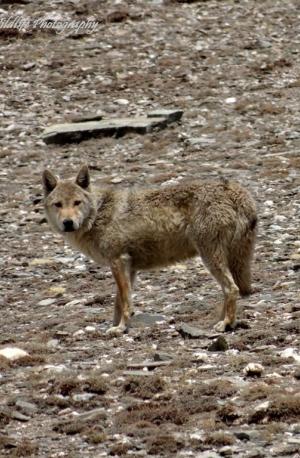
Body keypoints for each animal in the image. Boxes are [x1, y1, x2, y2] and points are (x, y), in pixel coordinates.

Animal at [42, 166, 258, 334]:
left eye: (76, 202)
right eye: (58, 204)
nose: (68, 223)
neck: (97, 214)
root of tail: (236, 190)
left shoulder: (118, 261)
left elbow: (125, 302)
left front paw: (121, 328)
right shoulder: (128, 268)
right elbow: (118, 302)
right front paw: (117, 326)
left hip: (211, 258)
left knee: (232, 289)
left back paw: (225, 324)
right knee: (229, 290)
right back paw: (224, 322)